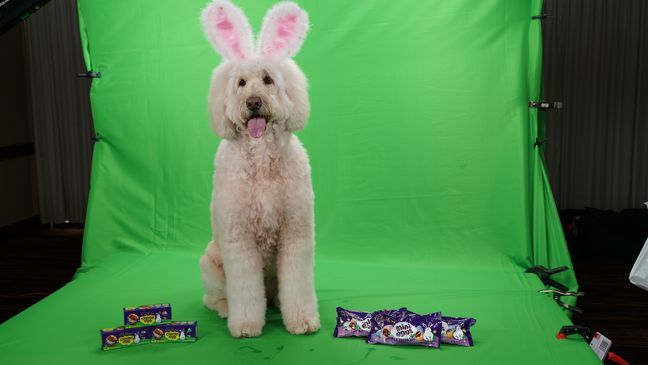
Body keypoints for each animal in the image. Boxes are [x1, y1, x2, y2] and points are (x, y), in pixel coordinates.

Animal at [197, 0, 318, 336]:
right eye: (240, 83)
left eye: (267, 80)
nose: (252, 102)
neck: (262, 159)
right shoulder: (239, 239)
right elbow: (245, 290)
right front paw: (246, 324)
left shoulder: (296, 231)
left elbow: (298, 285)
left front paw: (302, 320)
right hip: (211, 263)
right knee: (212, 298)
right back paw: (226, 309)